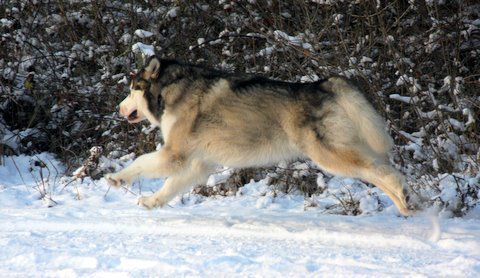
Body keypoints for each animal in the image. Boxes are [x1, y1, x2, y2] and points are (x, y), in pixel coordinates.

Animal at [105, 56, 412, 216]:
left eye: (131, 89)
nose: (118, 108)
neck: (169, 91)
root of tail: (321, 84)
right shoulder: (198, 164)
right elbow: (169, 187)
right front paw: (151, 202)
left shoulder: (174, 155)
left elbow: (140, 163)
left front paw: (116, 178)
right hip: (345, 150)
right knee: (379, 170)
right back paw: (405, 205)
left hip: (328, 155)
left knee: (384, 173)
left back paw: (402, 193)